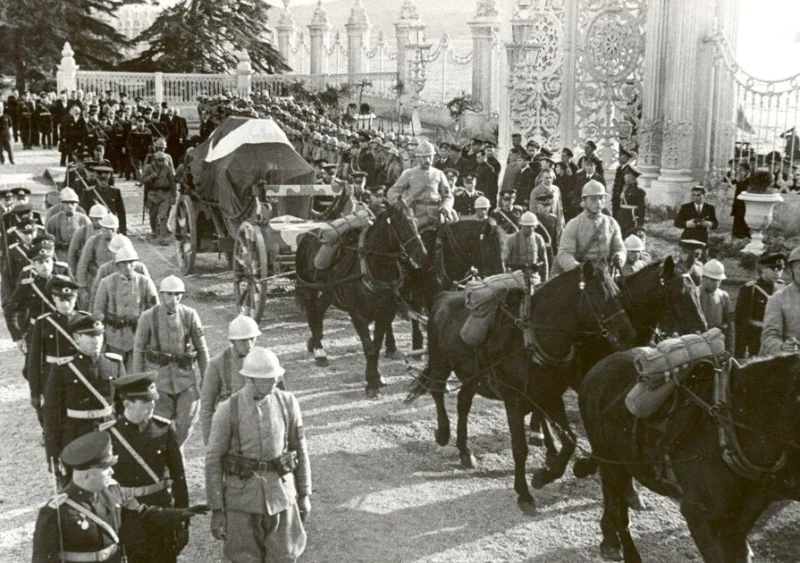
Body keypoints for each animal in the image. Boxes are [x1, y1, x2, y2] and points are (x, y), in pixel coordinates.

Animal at [296, 200, 428, 398]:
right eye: (402, 224)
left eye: (416, 221)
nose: (422, 255)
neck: (371, 269)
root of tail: (306, 235)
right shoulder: (357, 314)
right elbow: (369, 347)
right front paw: (371, 383)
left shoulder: (386, 313)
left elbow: (377, 345)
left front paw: (378, 377)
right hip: (308, 289)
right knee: (312, 313)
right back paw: (320, 353)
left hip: (328, 292)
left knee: (318, 310)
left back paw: (315, 342)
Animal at [406, 262, 636, 512]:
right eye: (601, 296)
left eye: (619, 293)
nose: (628, 333)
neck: (533, 338)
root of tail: (443, 296)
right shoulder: (514, 401)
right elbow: (520, 448)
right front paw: (524, 493)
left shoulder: (550, 397)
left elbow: (570, 441)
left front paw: (545, 476)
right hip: (441, 362)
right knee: (437, 390)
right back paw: (443, 433)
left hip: (473, 376)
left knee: (463, 402)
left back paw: (465, 451)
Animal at [580, 354, 800, 560]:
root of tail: (597, 367)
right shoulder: (698, 516)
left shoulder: (738, 521)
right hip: (609, 459)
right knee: (614, 501)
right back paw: (617, 546)